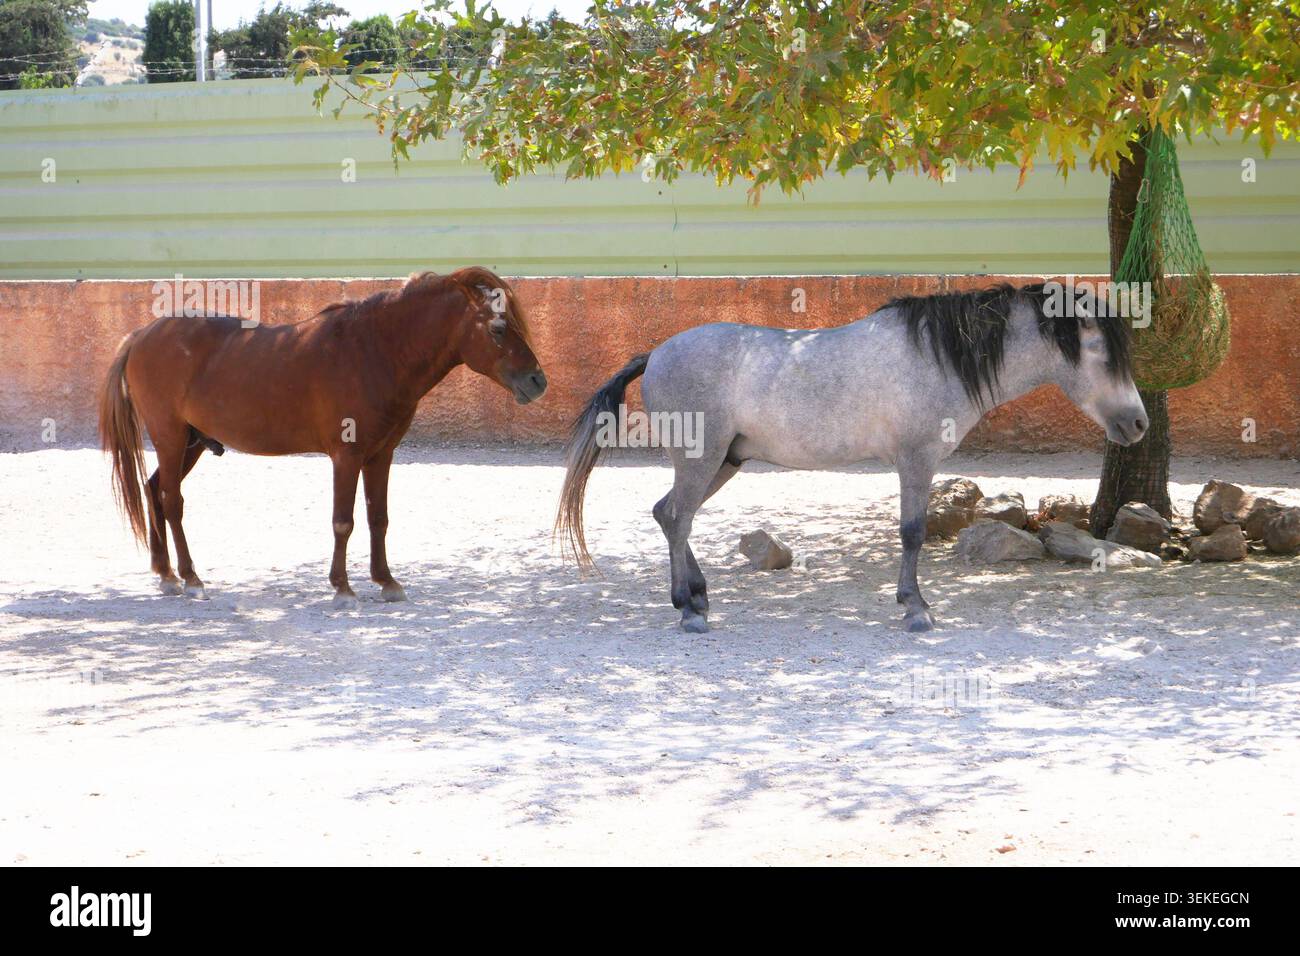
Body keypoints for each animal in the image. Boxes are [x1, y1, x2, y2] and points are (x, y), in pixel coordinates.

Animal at [99, 267, 546, 607]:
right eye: (499, 328)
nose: (537, 381)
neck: (373, 351)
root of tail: (142, 334)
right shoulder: (346, 456)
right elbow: (343, 521)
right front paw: (343, 587)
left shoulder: (381, 455)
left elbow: (378, 518)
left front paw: (386, 581)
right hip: (171, 437)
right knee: (172, 501)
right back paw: (190, 577)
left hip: (189, 443)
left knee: (154, 490)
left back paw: (165, 573)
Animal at [556, 282, 1147, 634]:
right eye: (1100, 353)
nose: (1139, 423)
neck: (939, 358)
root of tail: (655, 353)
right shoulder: (916, 460)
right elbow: (912, 532)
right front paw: (916, 607)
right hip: (701, 458)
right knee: (678, 518)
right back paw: (689, 610)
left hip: (722, 461)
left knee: (669, 514)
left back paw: (696, 598)